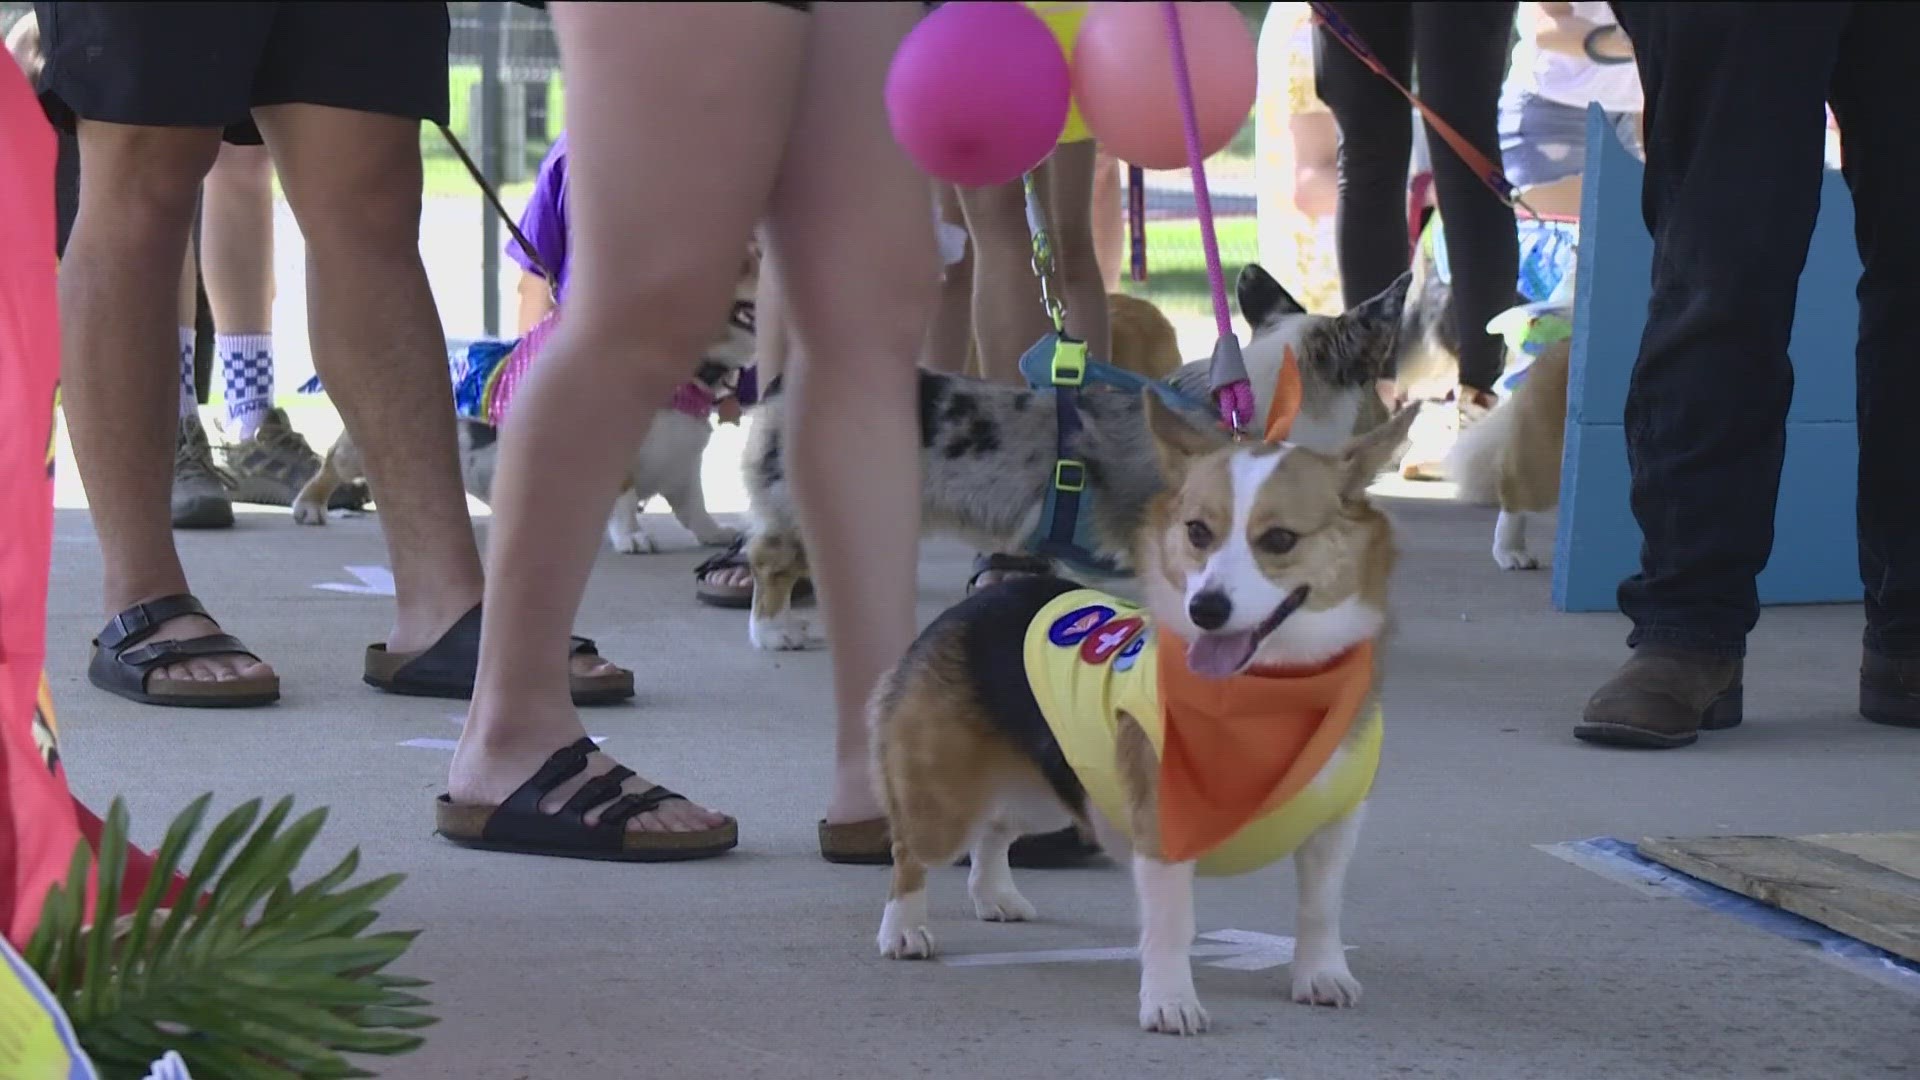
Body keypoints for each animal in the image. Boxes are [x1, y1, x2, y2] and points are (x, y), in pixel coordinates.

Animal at [867, 390, 1413, 1030]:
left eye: (1280, 540)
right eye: (1197, 531)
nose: (1206, 609)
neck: (1272, 691)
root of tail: (976, 602)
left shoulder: (1334, 825)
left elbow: (1321, 909)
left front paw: (1322, 976)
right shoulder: (1161, 829)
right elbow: (1173, 925)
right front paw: (1171, 1002)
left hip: (1053, 791)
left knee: (997, 829)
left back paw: (995, 896)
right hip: (944, 804)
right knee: (912, 852)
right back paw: (904, 930)